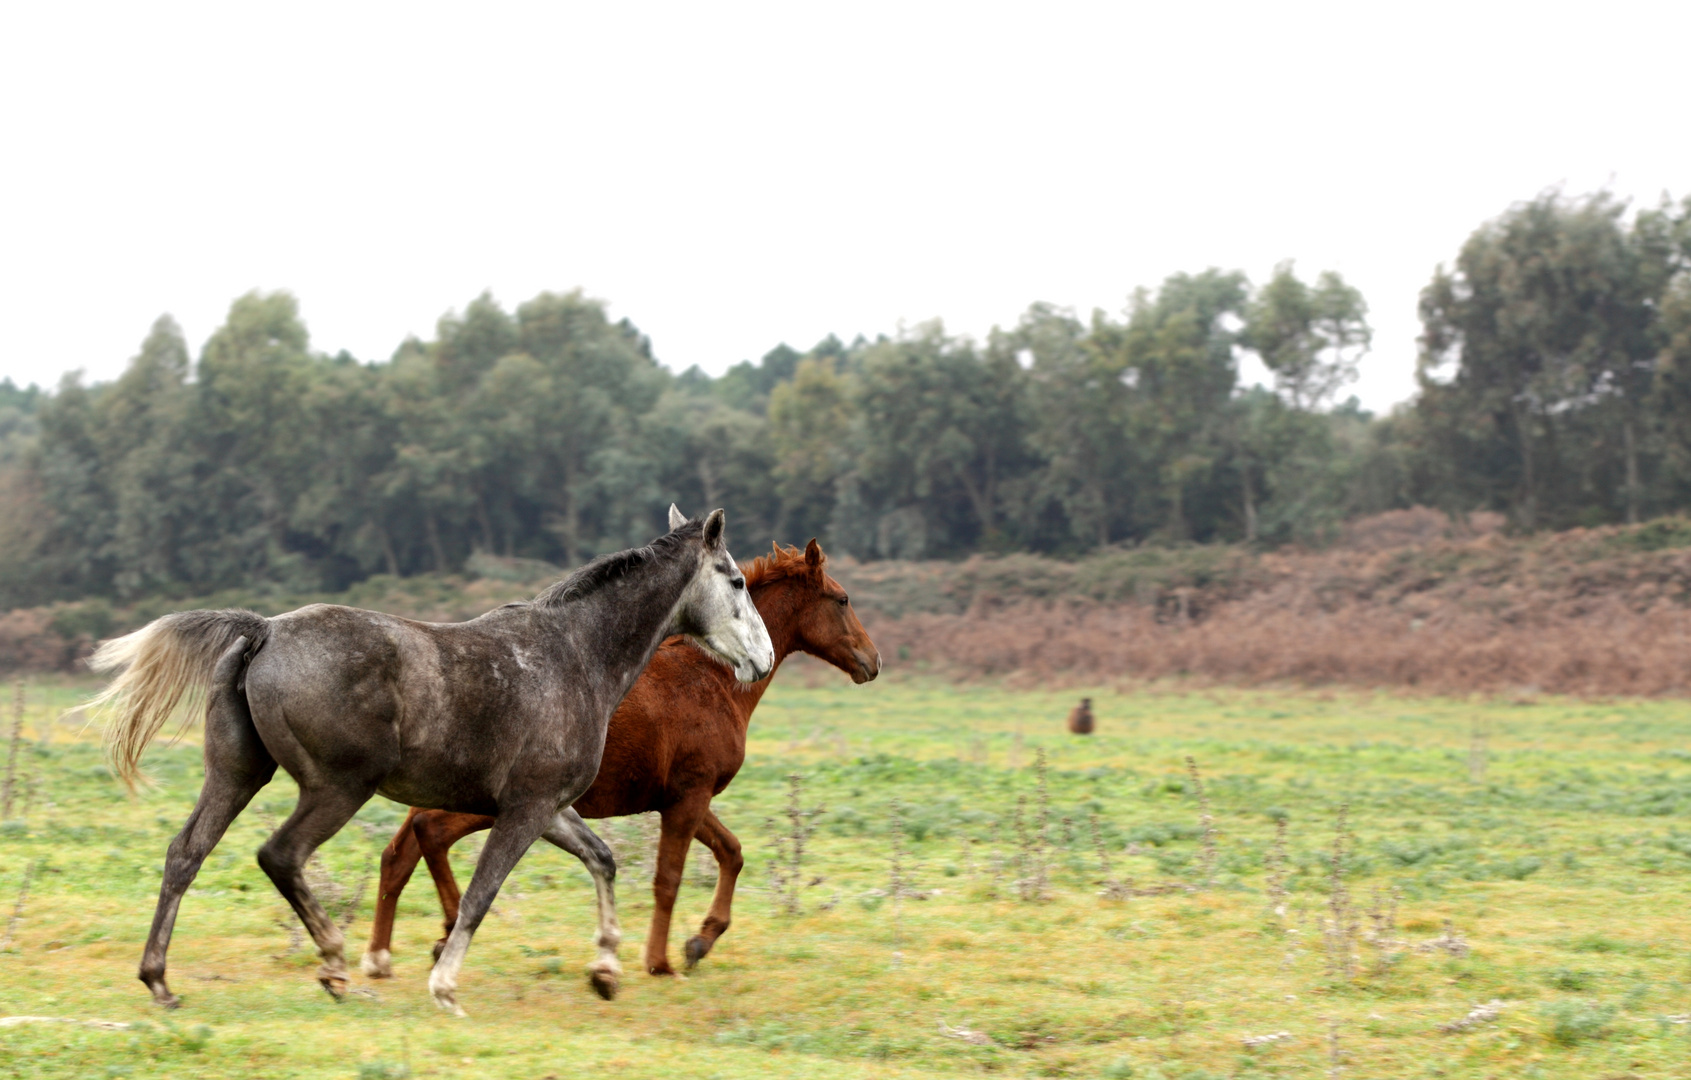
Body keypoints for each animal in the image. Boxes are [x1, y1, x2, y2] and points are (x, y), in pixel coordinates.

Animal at [89, 507, 774, 1014]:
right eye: (737, 581)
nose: (763, 660)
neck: (576, 656)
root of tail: (265, 630)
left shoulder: (548, 807)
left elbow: (600, 860)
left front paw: (604, 970)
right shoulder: (526, 809)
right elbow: (480, 894)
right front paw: (444, 987)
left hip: (237, 775)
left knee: (186, 854)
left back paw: (160, 981)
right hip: (338, 789)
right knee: (280, 855)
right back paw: (335, 965)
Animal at [361, 540, 879, 980]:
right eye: (842, 599)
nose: (872, 661)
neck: (711, 679)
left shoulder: (683, 797)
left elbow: (731, 852)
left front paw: (699, 942)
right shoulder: (690, 795)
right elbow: (669, 878)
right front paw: (660, 961)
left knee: (399, 852)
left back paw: (383, 957)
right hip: (489, 804)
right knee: (428, 833)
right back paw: (441, 933)